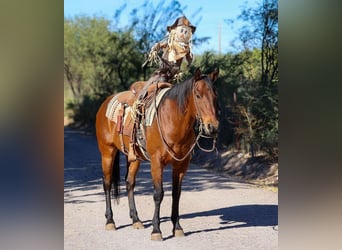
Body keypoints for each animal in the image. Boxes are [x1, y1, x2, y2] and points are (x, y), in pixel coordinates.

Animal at [95, 68, 219, 240]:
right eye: (198, 95)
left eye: (215, 96)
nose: (212, 127)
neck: (172, 120)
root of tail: (105, 103)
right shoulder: (156, 162)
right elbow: (158, 194)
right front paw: (156, 230)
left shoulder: (181, 165)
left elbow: (176, 194)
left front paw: (177, 227)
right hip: (107, 152)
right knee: (106, 183)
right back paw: (110, 221)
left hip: (133, 158)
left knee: (129, 182)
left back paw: (136, 220)